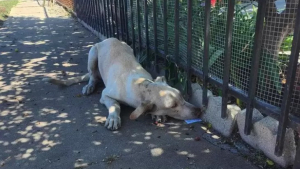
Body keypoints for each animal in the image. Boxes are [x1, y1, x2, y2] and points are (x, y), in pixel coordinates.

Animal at [42, 38, 202, 130]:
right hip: (92, 53)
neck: (141, 86)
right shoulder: (105, 95)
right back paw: (90, 85)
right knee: (92, 75)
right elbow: (115, 105)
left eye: (182, 96)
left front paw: (157, 116)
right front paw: (113, 118)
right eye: (172, 106)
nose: (199, 111)